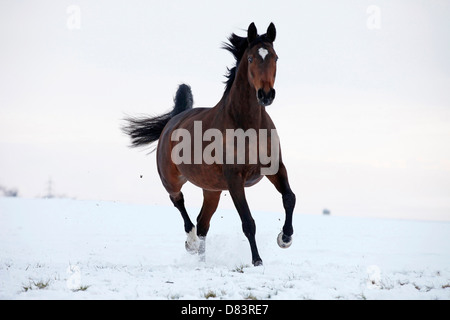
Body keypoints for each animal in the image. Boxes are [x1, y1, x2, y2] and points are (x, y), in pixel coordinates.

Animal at [125, 22, 298, 266]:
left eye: (275, 57)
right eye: (251, 58)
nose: (266, 95)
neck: (248, 125)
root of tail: (173, 120)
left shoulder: (275, 168)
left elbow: (289, 198)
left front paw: (285, 238)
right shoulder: (234, 178)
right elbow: (248, 221)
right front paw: (257, 261)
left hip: (212, 189)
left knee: (203, 223)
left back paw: (201, 260)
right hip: (171, 180)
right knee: (180, 205)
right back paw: (191, 244)